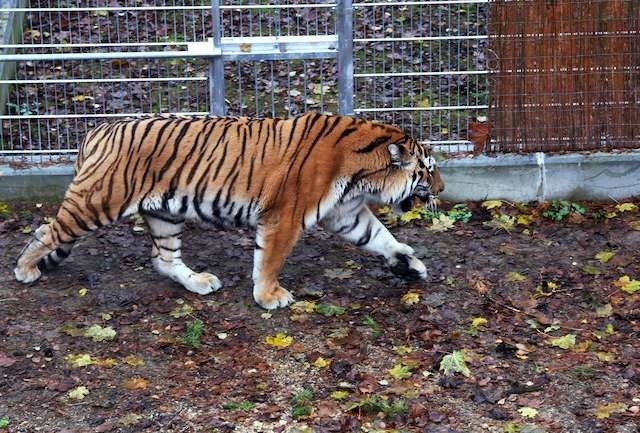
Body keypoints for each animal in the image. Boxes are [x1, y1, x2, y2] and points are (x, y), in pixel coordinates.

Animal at [15, 111, 444, 308]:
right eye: (429, 170)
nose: (442, 190)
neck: (362, 174)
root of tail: (95, 130)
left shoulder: (347, 213)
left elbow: (382, 238)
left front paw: (410, 264)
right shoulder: (284, 216)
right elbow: (269, 259)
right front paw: (269, 297)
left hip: (164, 215)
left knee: (165, 259)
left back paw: (199, 282)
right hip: (96, 203)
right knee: (46, 231)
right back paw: (24, 270)